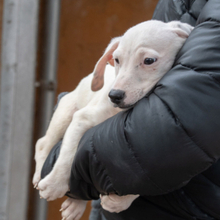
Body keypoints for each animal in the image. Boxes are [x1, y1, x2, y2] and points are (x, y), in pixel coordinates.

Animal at [32, 19, 192, 219]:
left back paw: (75, 205)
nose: (114, 95)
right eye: (117, 60)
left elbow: (149, 177)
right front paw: (55, 184)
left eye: (149, 61)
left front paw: (121, 201)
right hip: (65, 112)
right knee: (43, 143)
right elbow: (68, 154)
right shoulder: (82, 119)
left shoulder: (168, 157)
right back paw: (40, 175)